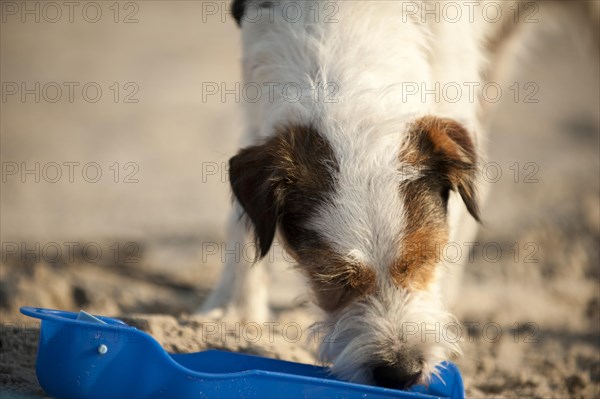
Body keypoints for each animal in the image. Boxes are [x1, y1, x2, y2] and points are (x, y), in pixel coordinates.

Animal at [203, 0, 528, 390]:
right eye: (333, 278)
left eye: (424, 258)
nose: (401, 373)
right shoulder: (257, 108)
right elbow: (241, 222)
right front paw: (234, 314)